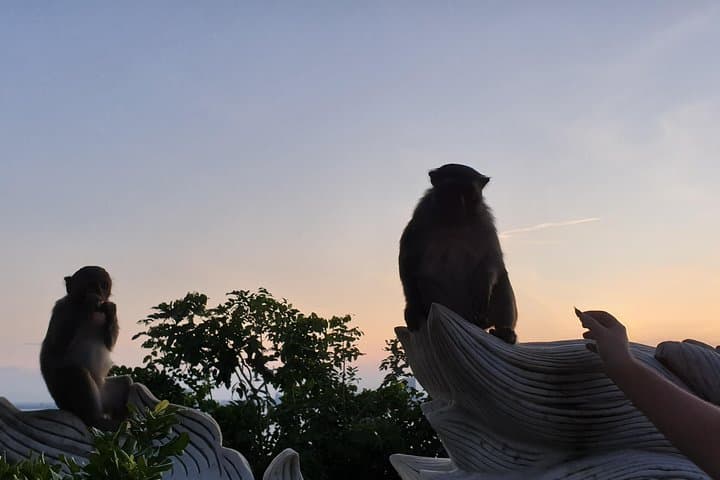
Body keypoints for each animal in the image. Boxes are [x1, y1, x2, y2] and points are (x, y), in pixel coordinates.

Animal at [40, 266, 130, 430]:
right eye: (90, 285)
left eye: (103, 285)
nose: (98, 293)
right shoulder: (61, 309)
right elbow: (57, 345)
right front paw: (90, 302)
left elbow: (109, 343)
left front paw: (111, 309)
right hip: (68, 398)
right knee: (76, 372)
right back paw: (95, 420)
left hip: (105, 395)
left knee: (125, 381)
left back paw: (121, 422)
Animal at [399, 164, 518, 344]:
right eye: (450, 189)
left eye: (468, 192)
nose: (457, 204)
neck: (454, 222)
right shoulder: (420, 216)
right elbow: (408, 259)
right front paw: (412, 307)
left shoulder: (484, 220)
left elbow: (491, 259)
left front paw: (483, 292)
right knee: (424, 281)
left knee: (502, 280)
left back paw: (504, 332)